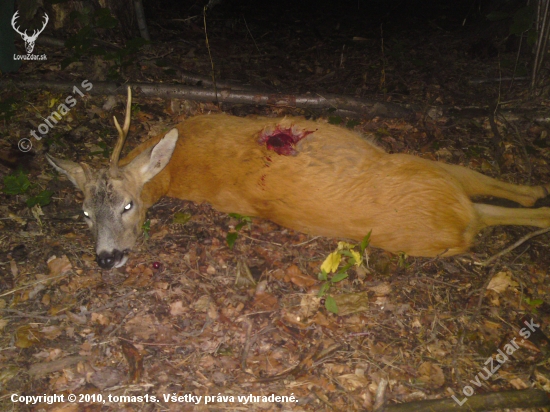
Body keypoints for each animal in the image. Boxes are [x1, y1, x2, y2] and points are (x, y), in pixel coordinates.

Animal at [47, 87, 550, 270]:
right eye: (85, 213)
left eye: (127, 205)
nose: (106, 259)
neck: (180, 163)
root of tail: (458, 229)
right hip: (421, 167)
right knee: (494, 202)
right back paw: (536, 196)